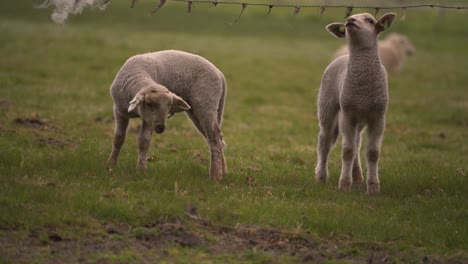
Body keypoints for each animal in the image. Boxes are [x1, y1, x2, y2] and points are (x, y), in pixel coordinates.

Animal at [108, 49, 229, 182]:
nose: (161, 127)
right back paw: (223, 171)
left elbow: (143, 141)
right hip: (199, 110)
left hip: (206, 102)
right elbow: (118, 138)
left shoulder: (149, 120)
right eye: (149, 103)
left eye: (169, 105)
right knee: (217, 137)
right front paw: (111, 164)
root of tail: (220, 74)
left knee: (214, 138)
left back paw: (215, 176)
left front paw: (141, 170)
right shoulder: (119, 111)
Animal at [316, 12, 396, 194]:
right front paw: (344, 184)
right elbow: (347, 151)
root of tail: (344, 56)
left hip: (358, 118)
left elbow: (372, 153)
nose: (350, 21)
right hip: (327, 107)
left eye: (370, 21)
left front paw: (373, 187)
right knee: (325, 141)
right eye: (349, 18)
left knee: (357, 143)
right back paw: (321, 176)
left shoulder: (378, 116)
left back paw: (358, 176)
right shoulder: (348, 115)